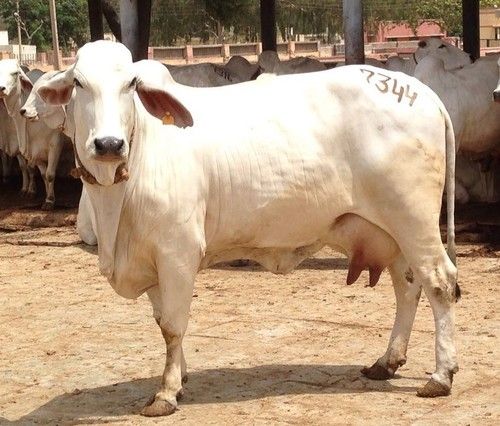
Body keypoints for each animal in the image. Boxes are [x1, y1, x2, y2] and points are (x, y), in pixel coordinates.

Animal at [0, 59, 36, 195]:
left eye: (15, 73)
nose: (1, 88)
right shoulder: (15, 143)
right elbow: (23, 166)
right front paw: (24, 187)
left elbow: (30, 167)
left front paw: (31, 189)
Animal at [40, 42, 460, 416]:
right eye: (78, 82)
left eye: (130, 84)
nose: (108, 144)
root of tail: (426, 95)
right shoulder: (153, 261)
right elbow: (163, 322)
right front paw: (180, 376)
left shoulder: (177, 252)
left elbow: (173, 326)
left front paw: (167, 393)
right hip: (391, 230)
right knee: (408, 287)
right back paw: (388, 361)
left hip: (414, 219)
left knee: (440, 283)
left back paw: (441, 375)